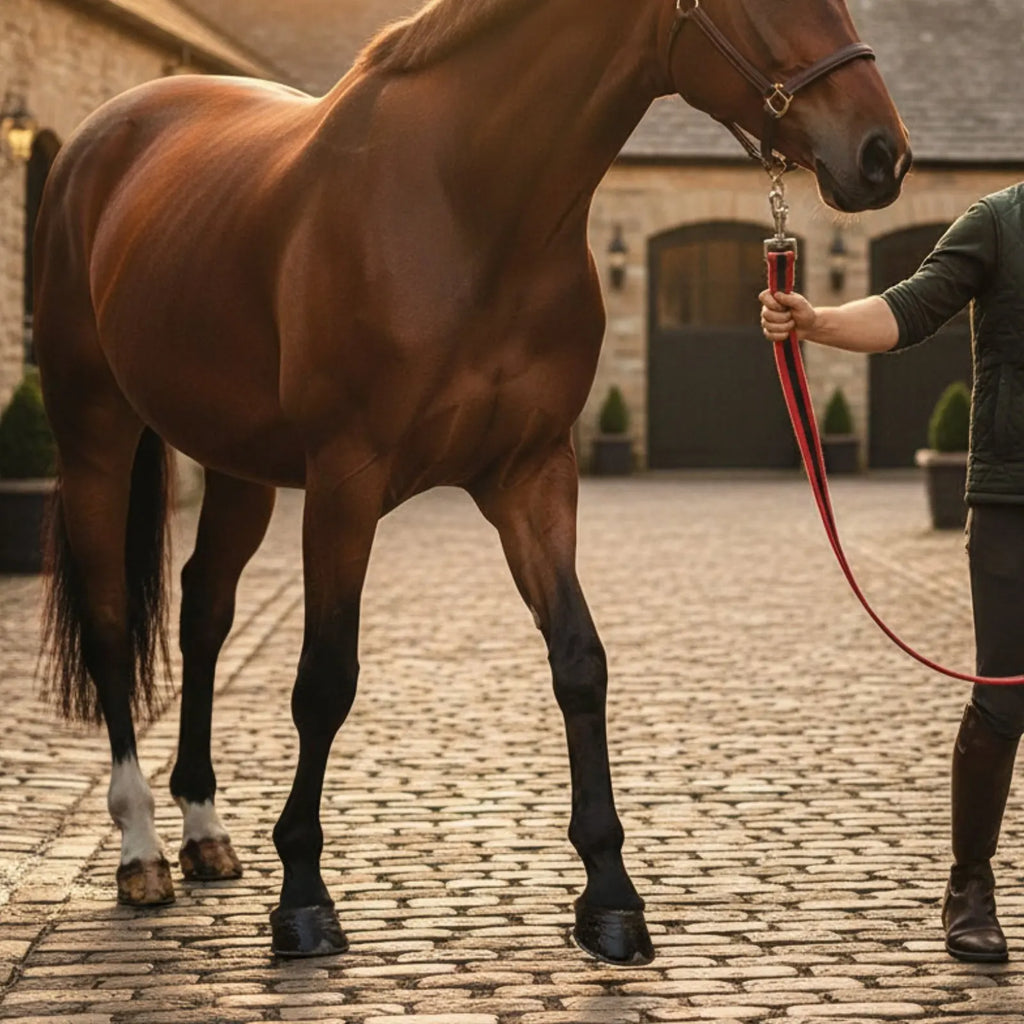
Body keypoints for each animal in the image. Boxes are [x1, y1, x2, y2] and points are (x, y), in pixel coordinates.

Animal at [33, 0, 910, 964]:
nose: (882, 154)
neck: (468, 207)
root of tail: (102, 137)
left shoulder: (533, 476)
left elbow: (579, 662)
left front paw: (611, 898)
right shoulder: (344, 483)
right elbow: (324, 681)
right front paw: (303, 897)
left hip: (235, 465)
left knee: (203, 611)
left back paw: (203, 833)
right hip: (96, 435)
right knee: (112, 623)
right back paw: (141, 848)